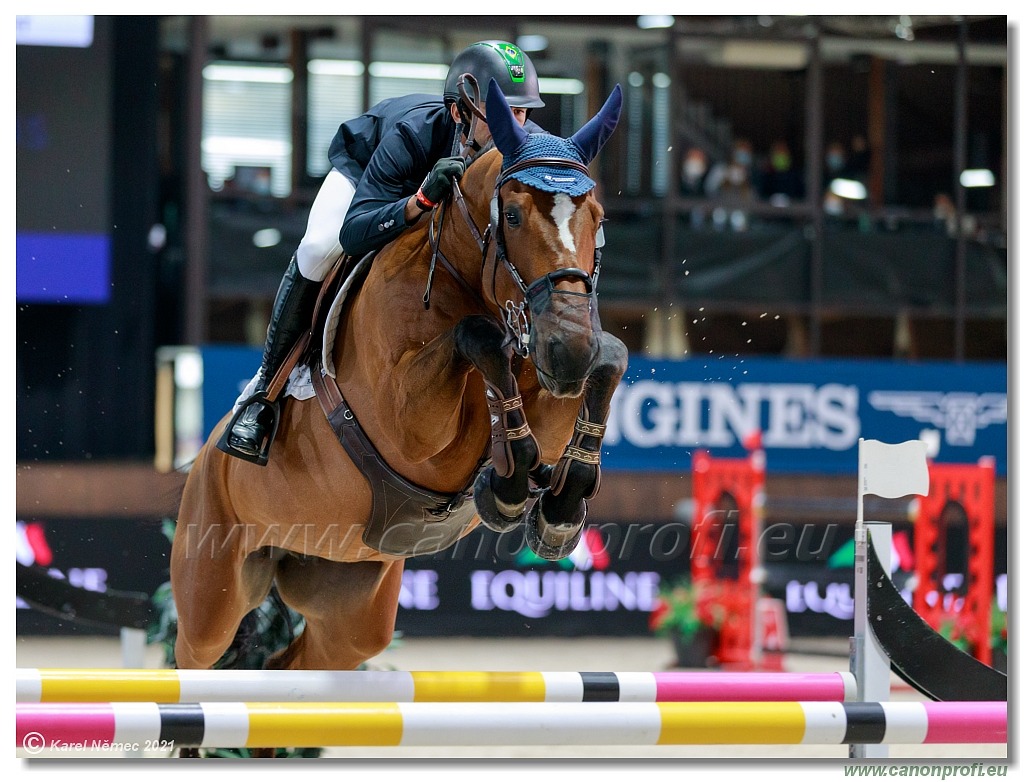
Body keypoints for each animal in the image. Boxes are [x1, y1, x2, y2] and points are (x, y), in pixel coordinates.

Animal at [169, 80, 622, 679]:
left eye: (597, 216)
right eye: (514, 216)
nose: (568, 350)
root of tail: (201, 461)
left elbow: (609, 358)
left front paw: (559, 507)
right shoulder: (408, 420)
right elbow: (477, 339)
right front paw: (508, 487)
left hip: (349, 608)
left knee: (290, 665)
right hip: (211, 593)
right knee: (195, 654)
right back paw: (250, 425)